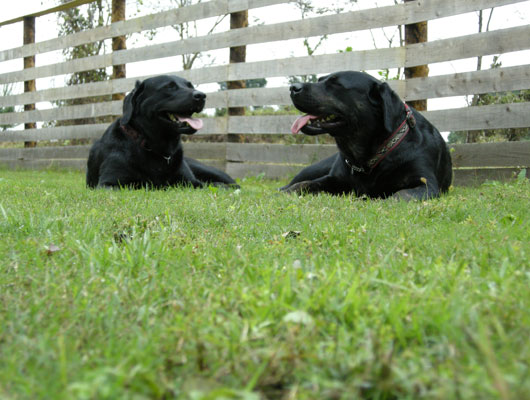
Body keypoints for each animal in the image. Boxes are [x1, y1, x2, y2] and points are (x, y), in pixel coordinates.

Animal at [86, 75, 237, 191]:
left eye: (191, 86)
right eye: (169, 87)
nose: (201, 95)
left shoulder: (192, 182)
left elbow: (210, 185)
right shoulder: (109, 184)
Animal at [280, 71, 450, 200]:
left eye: (336, 84)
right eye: (320, 80)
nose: (293, 88)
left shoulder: (425, 184)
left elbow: (400, 195)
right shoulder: (333, 179)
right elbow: (305, 184)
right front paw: (289, 192)